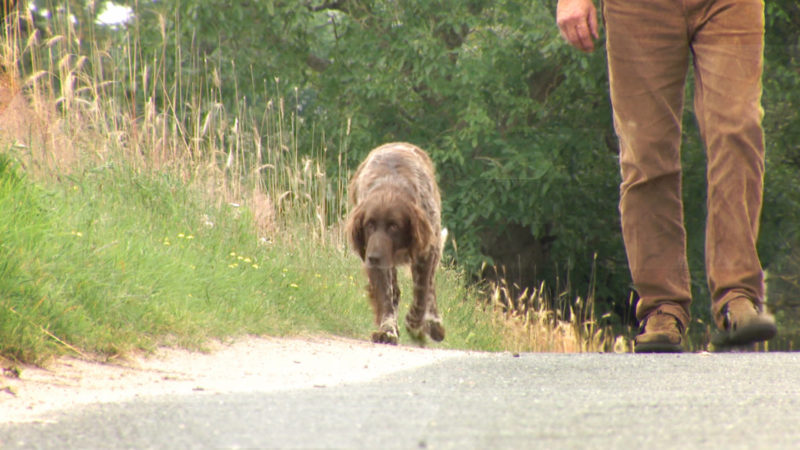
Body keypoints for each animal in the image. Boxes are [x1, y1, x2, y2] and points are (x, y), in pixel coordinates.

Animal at [344, 143, 444, 344]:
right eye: (369, 224)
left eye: (394, 226)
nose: (373, 257)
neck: (390, 184)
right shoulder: (375, 261)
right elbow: (386, 296)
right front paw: (388, 330)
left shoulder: (426, 251)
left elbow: (422, 293)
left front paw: (414, 323)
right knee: (395, 291)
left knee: (429, 289)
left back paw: (433, 324)